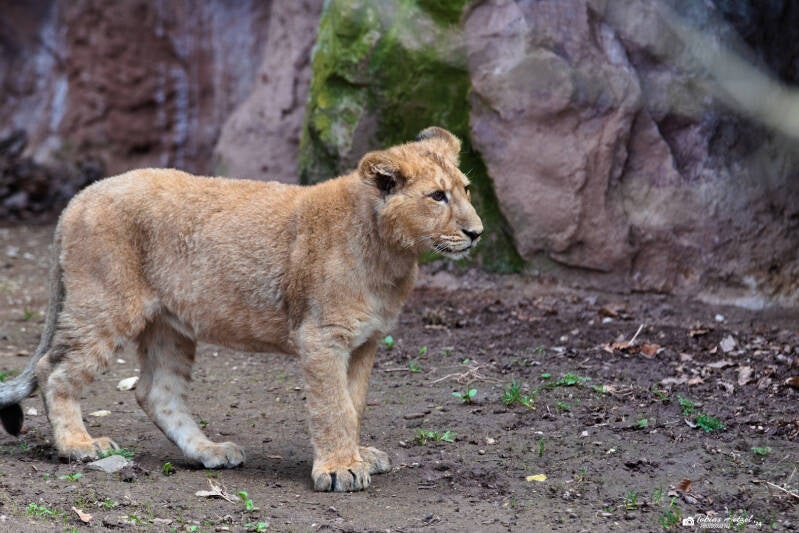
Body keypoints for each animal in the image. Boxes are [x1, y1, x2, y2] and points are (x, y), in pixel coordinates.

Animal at [0, 127, 483, 491]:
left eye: (466, 190)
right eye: (437, 196)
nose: (477, 232)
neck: (391, 254)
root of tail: (79, 197)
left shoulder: (365, 341)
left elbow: (354, 403)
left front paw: (356, 455)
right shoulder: (321, 337)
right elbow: (333, 406)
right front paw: (339, 469)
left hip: (169, 325)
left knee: (156, 391)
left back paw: (210, 452)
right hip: (106, 305)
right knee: (54, 369)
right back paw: (78, 446)